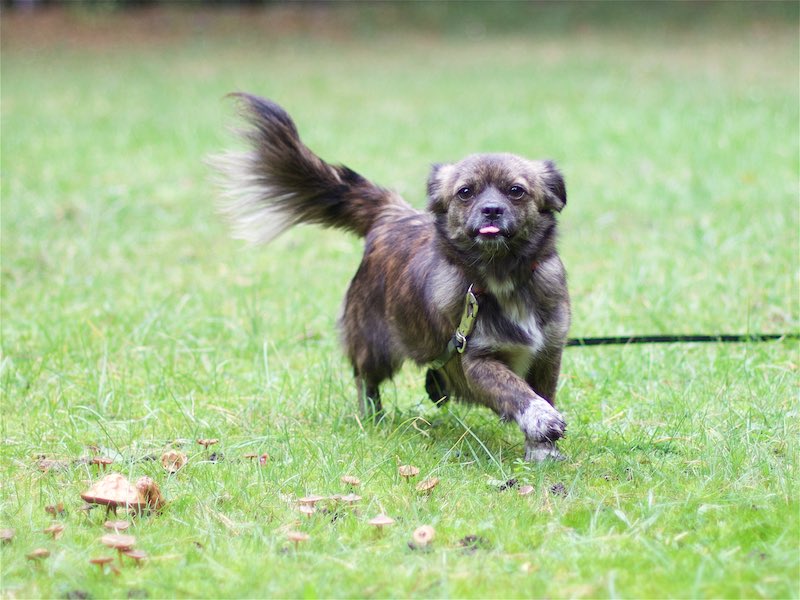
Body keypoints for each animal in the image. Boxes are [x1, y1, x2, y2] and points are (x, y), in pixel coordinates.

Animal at [215, 94, 570, 461]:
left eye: (516, 190)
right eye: (465, 192)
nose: (491, 210)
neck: (502, 277)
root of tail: (391, 212)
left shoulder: (548, 353)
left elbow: (541, 392)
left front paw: (542, 452)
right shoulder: (476, 360)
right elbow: (517, 392)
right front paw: (542, 420)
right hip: (374, 345)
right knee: (365, 379)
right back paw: (374, 417)